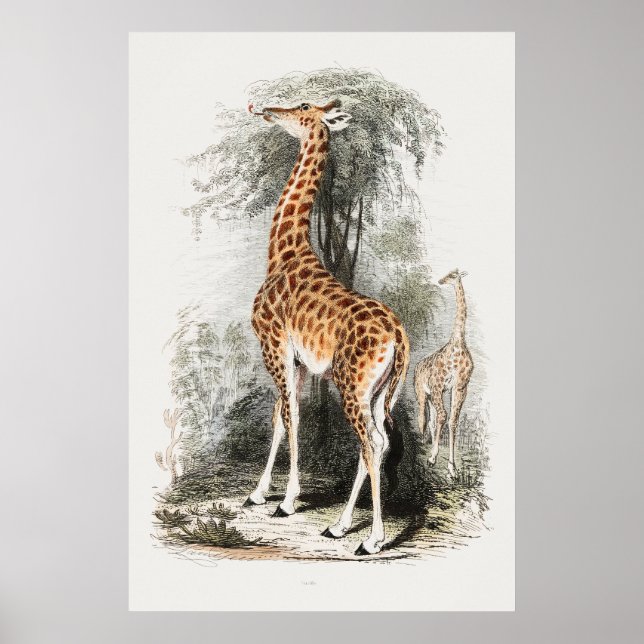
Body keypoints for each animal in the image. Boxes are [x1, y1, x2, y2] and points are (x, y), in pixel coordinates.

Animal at [243, 99, 410, 555]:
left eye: (302, 106)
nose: (267, 109)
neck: (283, 252)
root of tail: (400, 337)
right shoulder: (299, 361)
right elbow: (280, 418)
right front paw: (259, 493)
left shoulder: (275, 347)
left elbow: (291, 417)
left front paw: (286, 500)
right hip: (377, 391)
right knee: (379, 441)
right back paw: (339, 525)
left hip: (351, 384)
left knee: (371, 443)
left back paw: (371, 539)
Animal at [414, 269, 473, 478]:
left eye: (453, 274)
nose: (441, 280)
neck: (458, 343)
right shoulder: (438, 385)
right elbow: (443, 418)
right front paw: (432, 458)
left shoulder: (460, 387)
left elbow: (453, 421)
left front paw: (452, 468)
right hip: (422, 393)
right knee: (423, 419)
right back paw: (424, 445)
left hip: (432, 396)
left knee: (432, 421)